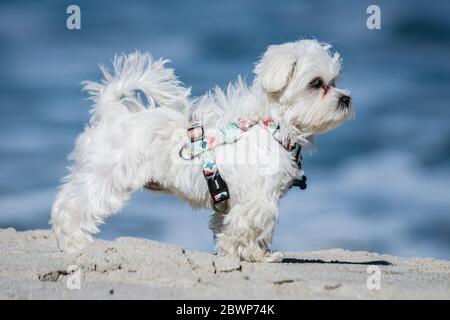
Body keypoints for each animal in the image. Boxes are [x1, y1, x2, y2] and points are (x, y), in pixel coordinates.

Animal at [50, 39, 352, 262]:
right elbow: (252, 226)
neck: (272, 127)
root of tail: (112, 111)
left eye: (335, 82)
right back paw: (73, 243)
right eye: (316, 83)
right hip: (103, 178)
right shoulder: (258, 199)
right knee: (70, 207)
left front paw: (232, 252)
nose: (346, 98)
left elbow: (226, 226)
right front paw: (259, 255)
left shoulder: (232, 201)